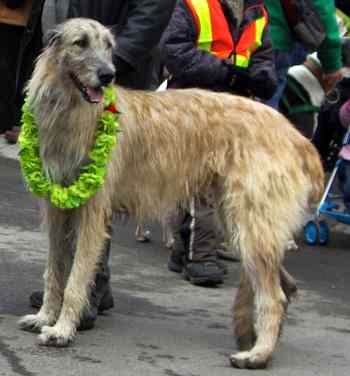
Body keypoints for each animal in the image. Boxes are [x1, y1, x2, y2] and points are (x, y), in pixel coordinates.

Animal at [17, 19, 324, 368]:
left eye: (109, 45)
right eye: (80, 42)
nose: (108, 74)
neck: (72, 109)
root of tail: (297, 137)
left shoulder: (93, 212)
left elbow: (77, 276)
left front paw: (62, 330)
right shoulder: (56, 208)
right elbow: (54, 270)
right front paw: (44, 316)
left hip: (251, 220)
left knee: (274, 295)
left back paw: (258, 354)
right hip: (240, 221)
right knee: (285, 285)